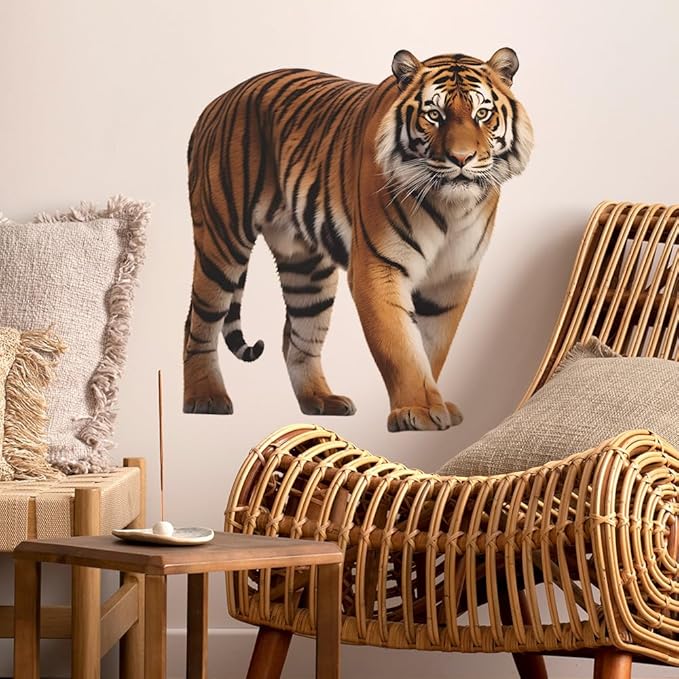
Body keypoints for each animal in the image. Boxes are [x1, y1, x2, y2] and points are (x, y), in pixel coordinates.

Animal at [183, 48, 533, 432]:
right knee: (198, 321)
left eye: (482, 114)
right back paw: (206, 398)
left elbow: (432, 346)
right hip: (222, 239)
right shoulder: (378, 267)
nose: (461, 158)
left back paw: (320, 400)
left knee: (297, 336)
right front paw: (418, 410)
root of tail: (216, 102)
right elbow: (400, 344)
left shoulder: (453, 277)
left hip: (307, 269)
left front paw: (437, 404)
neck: (451, 207)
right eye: (434, 115)